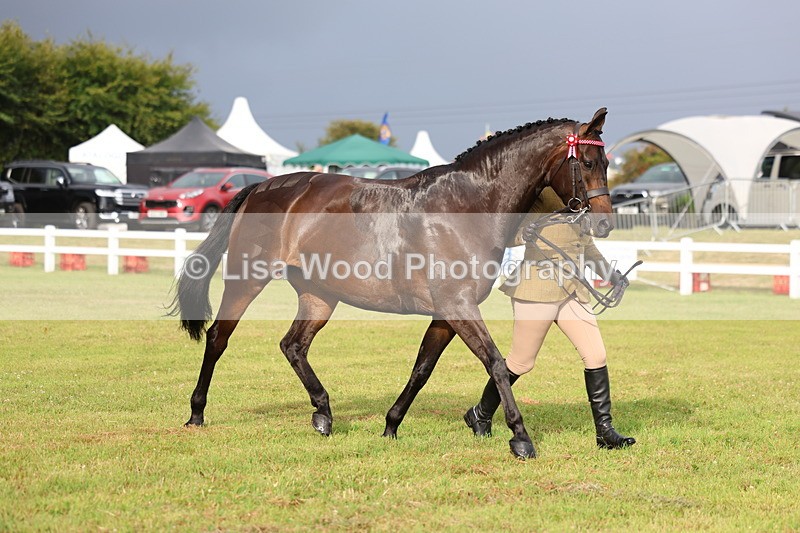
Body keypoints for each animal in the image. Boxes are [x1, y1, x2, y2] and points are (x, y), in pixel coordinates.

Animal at [170, 108, 613, 459]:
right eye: (589, 162)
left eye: (606, 161)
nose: (604, 224)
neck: (464, 207)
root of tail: (261, 187)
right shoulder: (459, 307)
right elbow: (497, 364)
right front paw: (520, 437)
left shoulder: (446, 313)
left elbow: (422, 369)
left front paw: (391, 426)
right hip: (247, 280)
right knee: (218, 338)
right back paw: (196, 413)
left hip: (319, 295)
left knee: (293, 345)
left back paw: (323, 414)